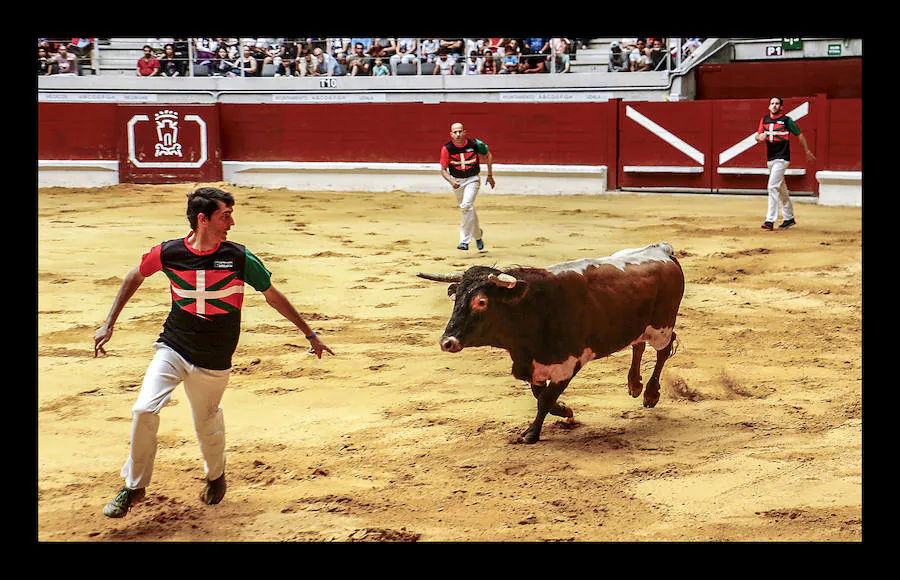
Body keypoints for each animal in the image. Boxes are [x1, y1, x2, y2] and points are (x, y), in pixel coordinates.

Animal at [418, 241, 684, 444]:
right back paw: (634, 385)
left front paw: (531, 433)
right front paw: (564, 409)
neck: (534, 308)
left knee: (663, 350)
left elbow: (545, 398)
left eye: (481, 302)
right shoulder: (534, 365)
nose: (446, 341)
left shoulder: (568, 363)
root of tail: (663, 251)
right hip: (640, 326)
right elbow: (540, 395)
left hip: (662, 326)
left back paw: (650, 394)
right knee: (638, 344)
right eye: (456, 298)